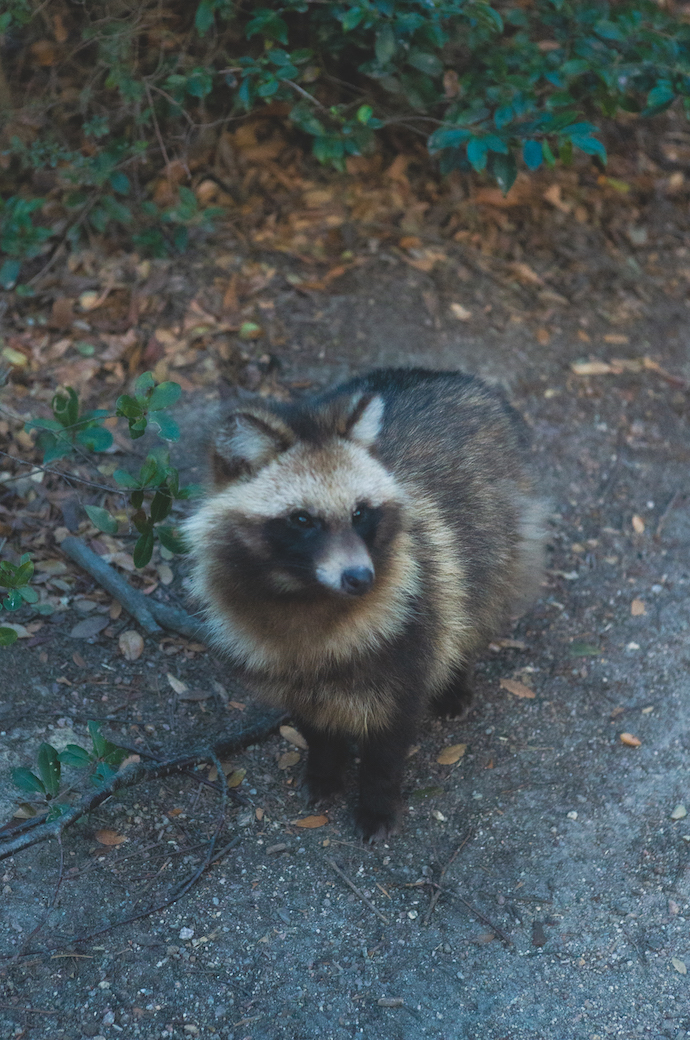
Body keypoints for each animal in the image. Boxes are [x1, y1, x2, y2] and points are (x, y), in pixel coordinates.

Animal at [185, 370, 545, 840]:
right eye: (301, 519)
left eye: (360, 513)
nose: (360, 577)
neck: (307, 594)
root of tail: (463, 378)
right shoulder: (280, 659)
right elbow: (314, 722)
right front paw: (325, 766)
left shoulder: (411, 627)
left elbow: (390, 737)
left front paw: (376, 797)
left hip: (500, 535)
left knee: (471, 603)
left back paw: (456, 672)